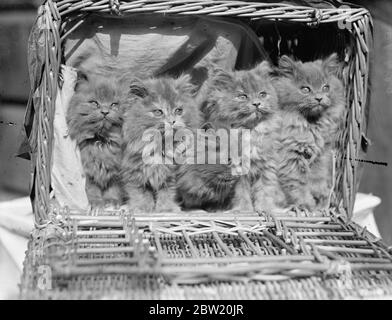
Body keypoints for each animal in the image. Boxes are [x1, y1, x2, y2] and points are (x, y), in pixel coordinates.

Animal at [66, 70, 125, 205]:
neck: (101, 141)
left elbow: (114, 188)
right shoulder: (89, 172)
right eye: (94, 103)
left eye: (114, 104)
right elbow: (91, 189)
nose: (105, 112)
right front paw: (96, 203)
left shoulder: (116, 172)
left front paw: (112, 201)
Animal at [121, 75, 201, 212]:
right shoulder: (135, 173)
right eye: (158, 112)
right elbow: (140, 193)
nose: (172, 121)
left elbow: (168, 193)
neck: (161, 145)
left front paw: (166, 209)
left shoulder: (173, 176)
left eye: (179, 110)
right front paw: (142, 208)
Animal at [202, 62, 284, 212]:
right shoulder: (236, 169)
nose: (257, 103)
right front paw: (244, 210)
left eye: (262, 94)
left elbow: (265, 189)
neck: (250, 132)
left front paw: (265, 208)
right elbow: (240, 193)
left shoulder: (267, 165)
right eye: (242, 97)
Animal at [272, 53, 346, 209]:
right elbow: (298, 183)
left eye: (326, 87)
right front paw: (306, 204)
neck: (312, 125)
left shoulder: (322, 153)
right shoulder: (291, 156)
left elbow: (317, 176)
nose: (319, 98)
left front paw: (320, 193)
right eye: (305, 89)